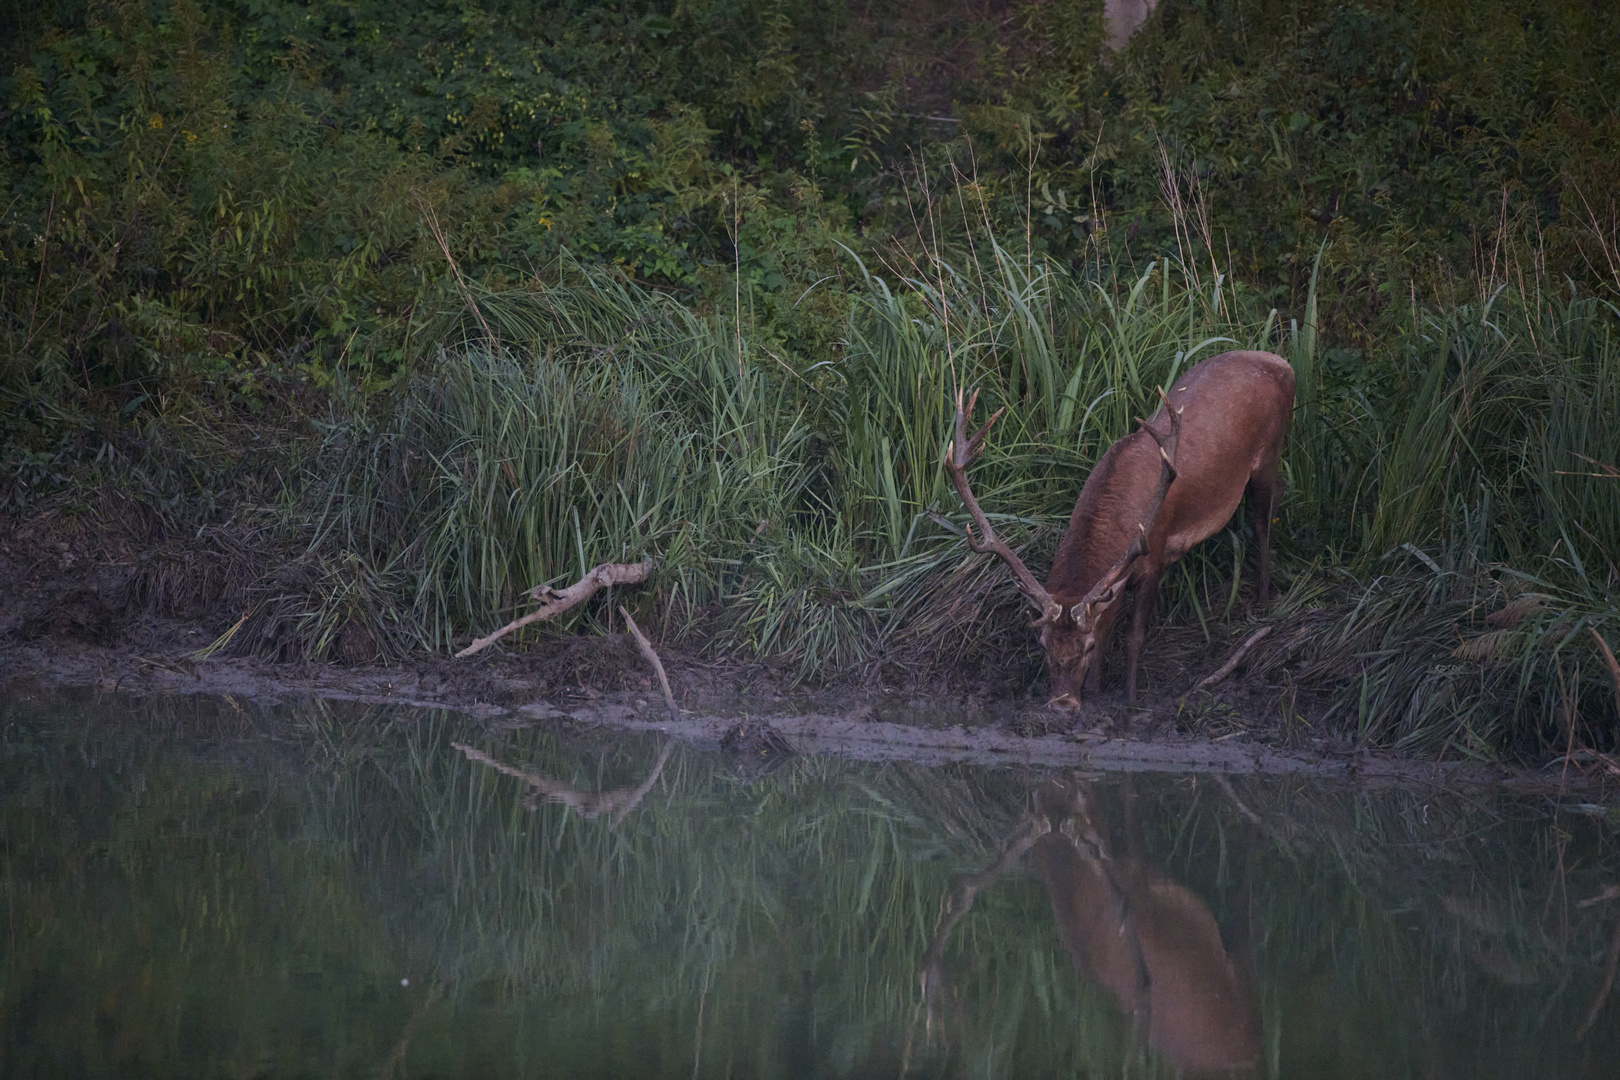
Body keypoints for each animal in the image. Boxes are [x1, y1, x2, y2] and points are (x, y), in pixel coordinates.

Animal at [946, 351, 1296, 712]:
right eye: (1043, 644)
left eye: (1084, 647)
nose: (1062, 703)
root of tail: (1282, 363)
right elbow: (1107, 626)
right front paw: (1096, 689)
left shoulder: (1155, 556)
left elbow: (1133, 636)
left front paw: (1128, 698)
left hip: (1270, 449)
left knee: (1263, 519)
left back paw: (1264, 599)